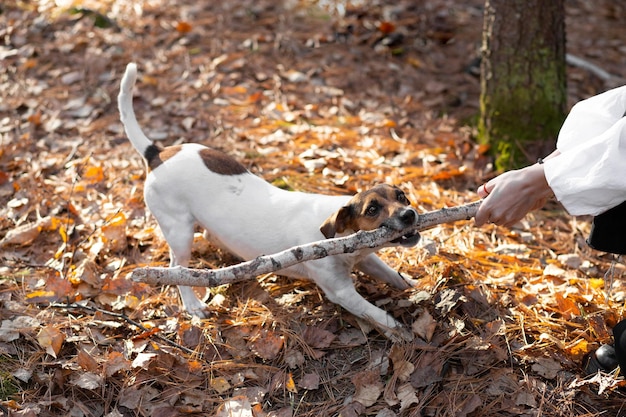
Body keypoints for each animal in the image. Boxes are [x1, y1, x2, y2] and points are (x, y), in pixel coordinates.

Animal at [117, 63, 420, 340]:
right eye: (372, 209)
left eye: (401, 196)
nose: (409, 215)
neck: (338, 234)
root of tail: (157, 153)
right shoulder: (341, 291)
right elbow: (378, 315)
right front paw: (402, 334)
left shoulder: (366, 259)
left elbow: (393, 275)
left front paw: (413, 284)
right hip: (179, 232)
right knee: (176, 269)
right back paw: (192, 304)